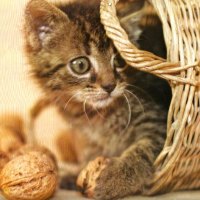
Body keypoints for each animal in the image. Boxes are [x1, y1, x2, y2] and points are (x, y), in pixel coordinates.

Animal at [23, 0, 170, 199]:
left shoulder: (159, 121)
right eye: (80, 65)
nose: (110, 86)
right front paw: (76, 174)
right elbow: (90, 156)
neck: (96, 116)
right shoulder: (89, 139)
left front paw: (112, 178)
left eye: (119, 61)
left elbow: (144, 150)